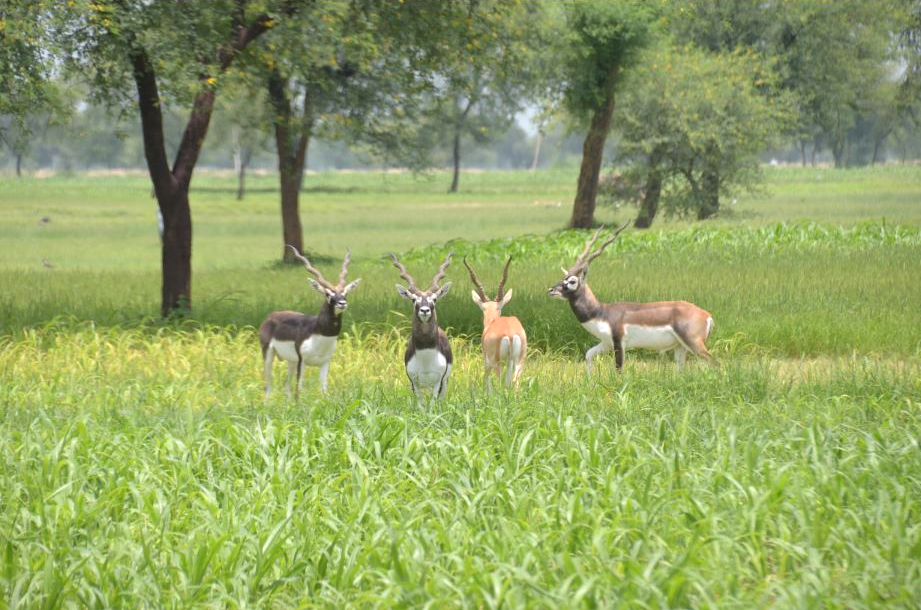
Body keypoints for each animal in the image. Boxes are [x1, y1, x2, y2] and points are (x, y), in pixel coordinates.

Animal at [260, 245, 362, 396]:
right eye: (328, 294)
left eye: (345, 293)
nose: (342, 303)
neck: (318, 332)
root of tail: (271, 316)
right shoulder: (302, 361)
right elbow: (298, 391)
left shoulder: (325, 363)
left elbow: (324, 391)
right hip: (268, 354)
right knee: (268, 386)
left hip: (291, 361)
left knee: (286, 384)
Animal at [390, 251, 454, 400]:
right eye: (413, 300)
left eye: (434, 299)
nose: (425, 310)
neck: (426, 357)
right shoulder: (414, 382)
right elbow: (420, 403)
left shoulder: (438, 382)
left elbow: (433, 403)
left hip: (445, 382)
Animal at [460, 254, 524, 388]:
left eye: (483, 309)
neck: (492, 321)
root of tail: (510, 333)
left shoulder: (486, 361)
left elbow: (487, 380)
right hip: (519, 361)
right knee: (514, 382)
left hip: (496, 363)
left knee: (500, 383)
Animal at [548, 221, 720, 368]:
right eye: (562, 278)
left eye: (572, 281)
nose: (551, 290)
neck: (601, 312)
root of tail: (706, 315)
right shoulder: (606, 343)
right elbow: (588, 355)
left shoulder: (619, 343)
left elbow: (619, 369)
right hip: (680, 347)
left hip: (694, 344)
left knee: (716, 364)